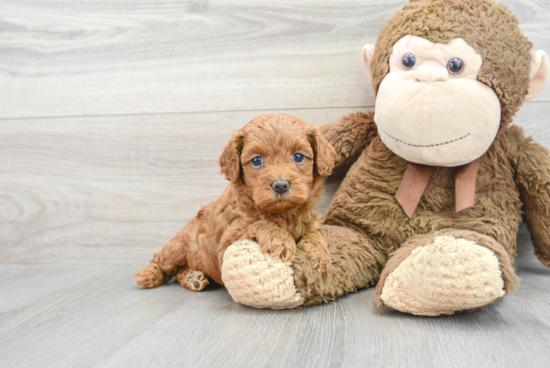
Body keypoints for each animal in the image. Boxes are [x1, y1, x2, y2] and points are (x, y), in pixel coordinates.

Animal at [136, 113, 338, 292]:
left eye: (298, 157)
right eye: (257, 160)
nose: (280, 185)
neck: (281, 213)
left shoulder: (309, 221)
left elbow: (315, 234)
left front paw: (320, 256)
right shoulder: (228, 241)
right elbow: (259, 223)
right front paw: (279, 239)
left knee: (180, 270)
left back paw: (193, 277)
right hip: (179, 246)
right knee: (162, 261)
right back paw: (147, 275)